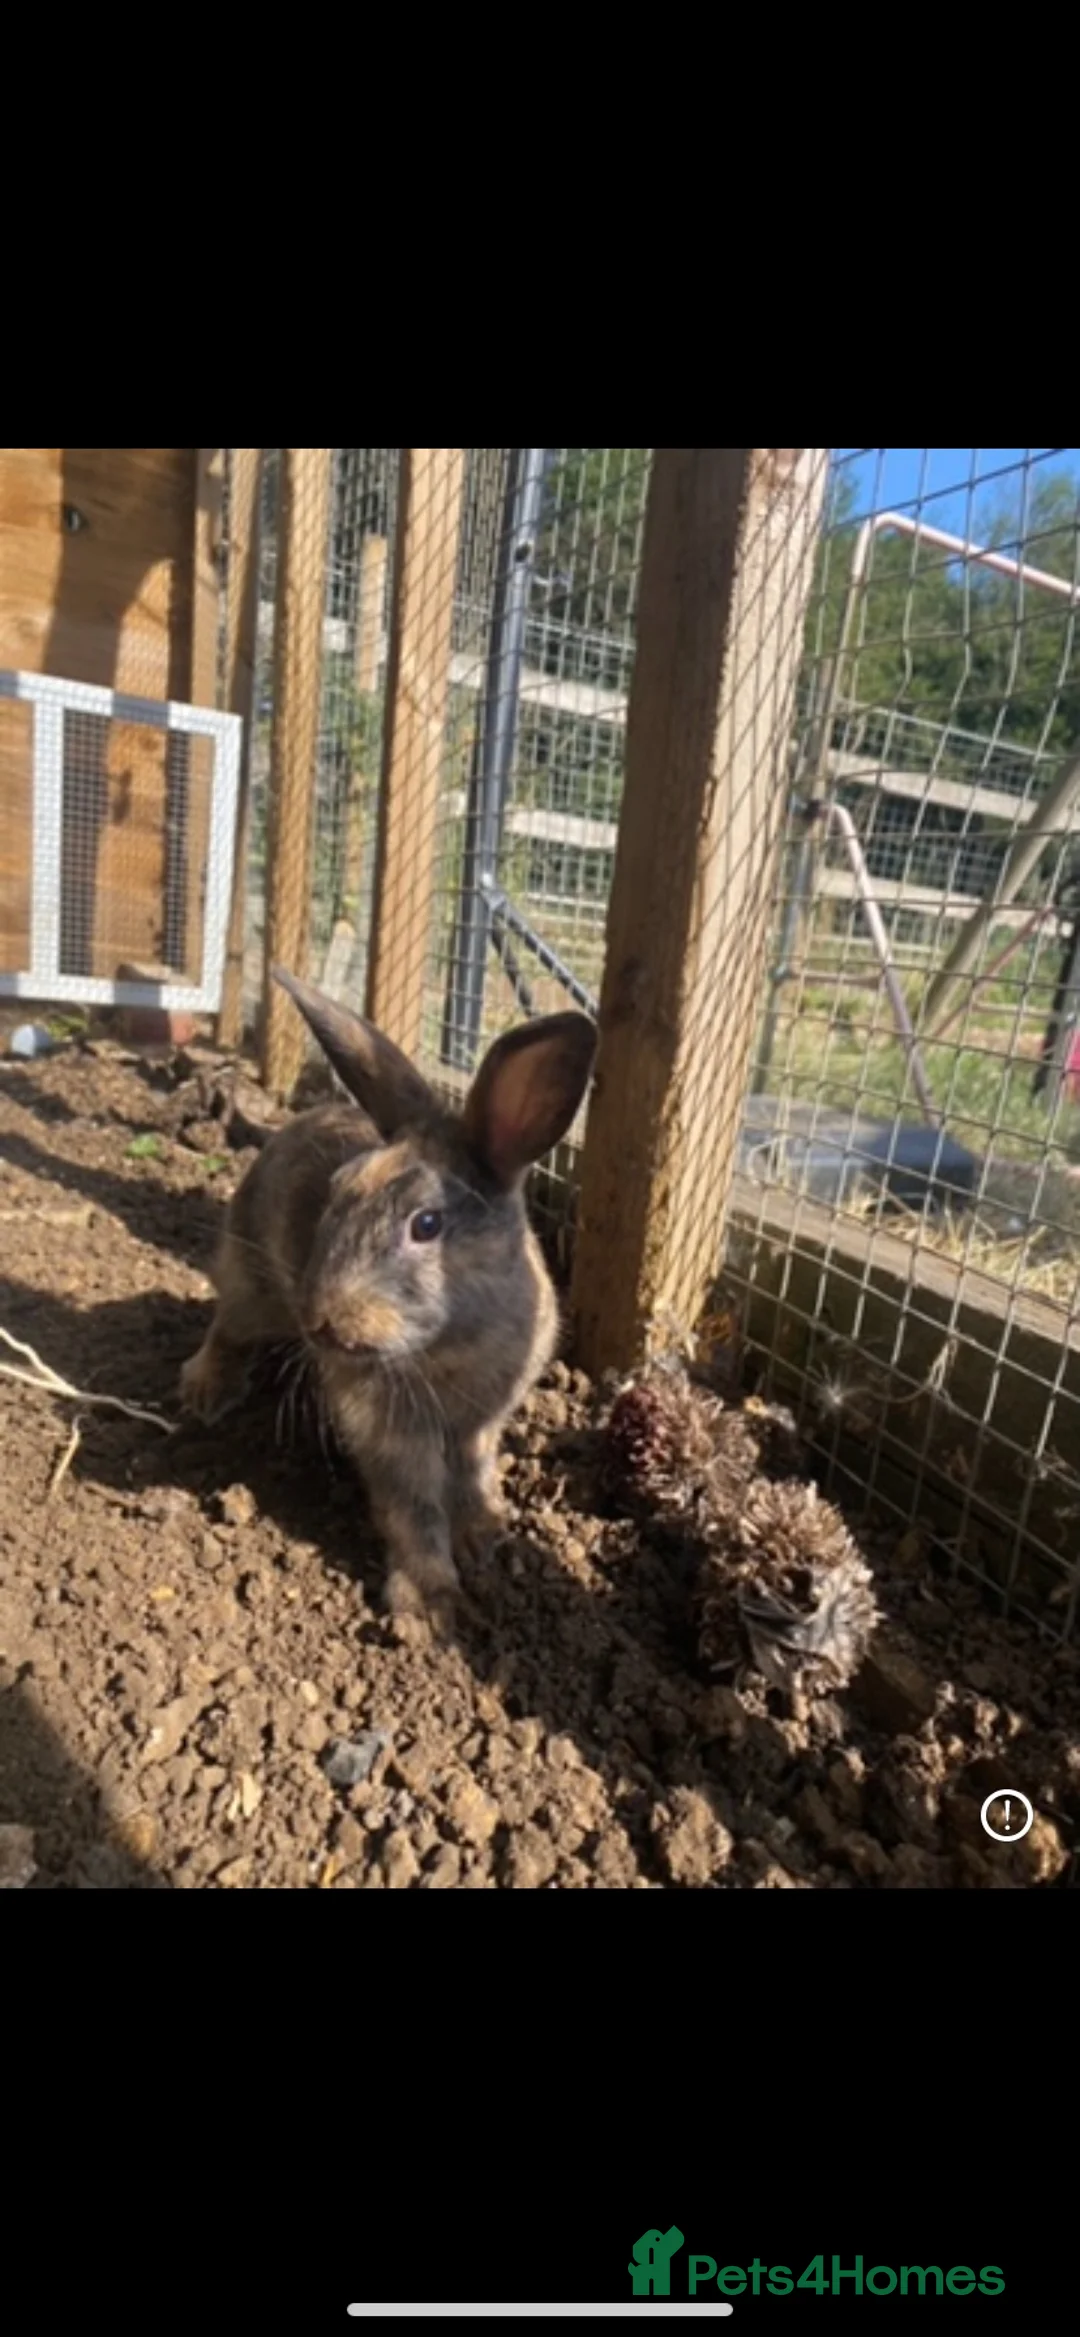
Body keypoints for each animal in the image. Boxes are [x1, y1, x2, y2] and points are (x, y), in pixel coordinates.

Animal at [180, 966, 597, 1633]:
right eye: (336, 1193)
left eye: (426, 1224)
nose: (323, 1321)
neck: (449, 1347)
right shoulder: (390, 1434)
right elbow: (413, 1511)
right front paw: (430, 1606)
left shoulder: (482, 1425)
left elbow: (473, 1478)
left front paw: (485, 1536)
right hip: (253, 1286)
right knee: (227, 1329)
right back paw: (205, 1395)